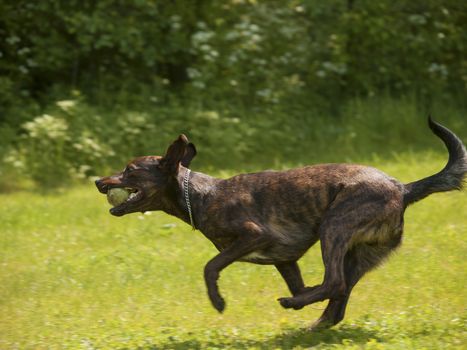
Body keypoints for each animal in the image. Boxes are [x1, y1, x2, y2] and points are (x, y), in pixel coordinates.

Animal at [96, 119, 467, 330]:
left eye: (129, 171)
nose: (99, 182)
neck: (199, 194)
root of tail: (403, 189)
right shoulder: (286, 260)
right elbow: (301, 285)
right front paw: (302, 298)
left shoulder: (252, 235)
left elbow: (210, 265)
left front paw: (217, 301)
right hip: (357, 253)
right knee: (339, 294)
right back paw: (313, 323)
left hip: (334, 227)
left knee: (335, 283)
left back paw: (294, 307)